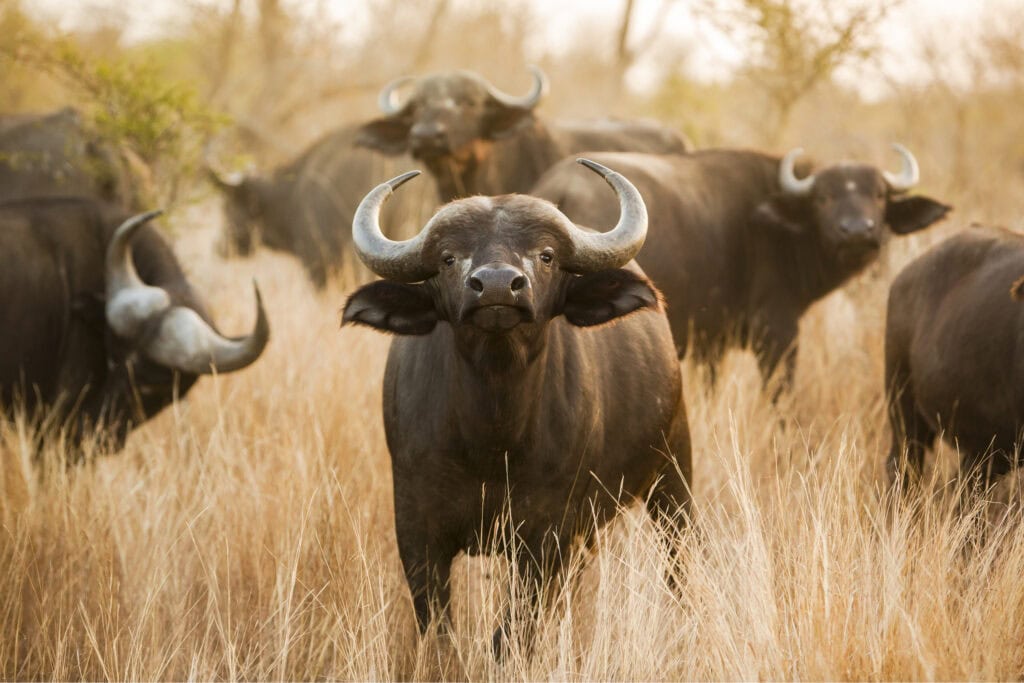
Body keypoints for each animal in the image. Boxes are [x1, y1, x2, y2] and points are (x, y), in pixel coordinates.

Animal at [342, 160, 691, 656]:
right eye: (448, 257)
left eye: (545, 255)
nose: (495, 287)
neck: (492, 436)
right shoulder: (416, 531)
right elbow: (440, 631)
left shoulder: (546, 537)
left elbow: (511, 636)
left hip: (673, 473)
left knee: (678, 556)